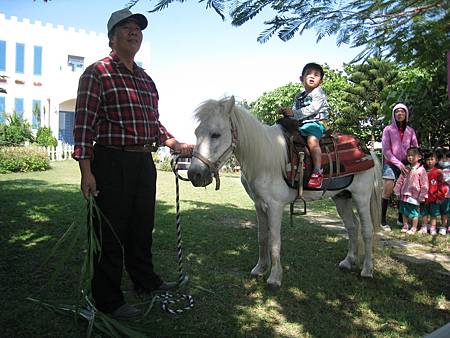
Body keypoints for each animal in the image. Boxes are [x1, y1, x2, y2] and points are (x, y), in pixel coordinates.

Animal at [188, 96, 382, 290]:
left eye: (215, 134)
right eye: (196, 133)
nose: (194, 175)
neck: (264, 157)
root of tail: (367, 151)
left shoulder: (275, 206)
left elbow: (274, 242)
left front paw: (274, 277)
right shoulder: (259, 205)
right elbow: (262, 237)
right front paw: (260, 268)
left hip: (361, 197)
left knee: (367, 230)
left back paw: (367, 270)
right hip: (342, 198)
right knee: (352, 226)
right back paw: (348, 261)